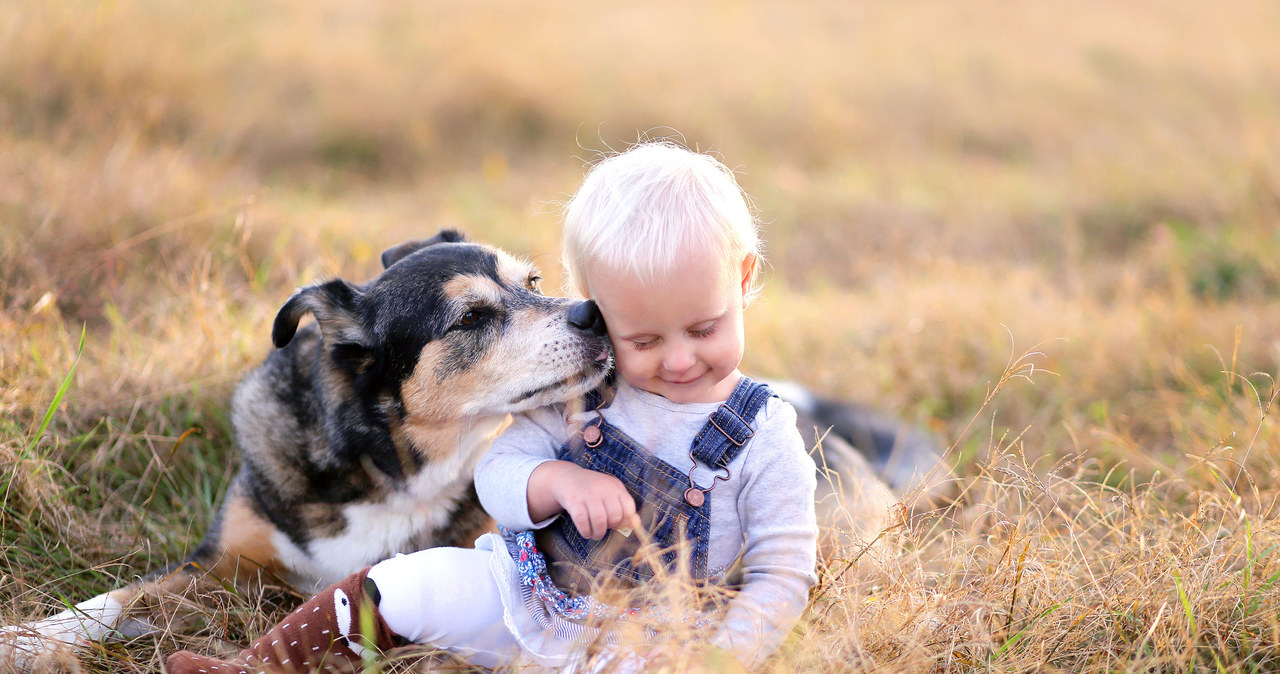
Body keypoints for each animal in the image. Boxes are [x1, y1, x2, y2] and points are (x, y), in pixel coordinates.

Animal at [0, 230, 942, 670]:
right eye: (472, 317)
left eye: (533, 283)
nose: (595, 312)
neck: (389, 465)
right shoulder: (222, 559)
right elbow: (114, 598)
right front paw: (29, 637)